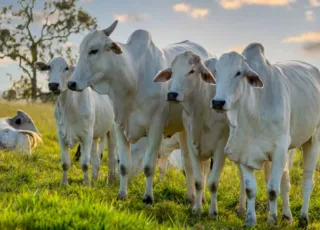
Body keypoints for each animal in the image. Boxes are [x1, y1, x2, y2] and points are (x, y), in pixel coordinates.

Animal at [34, 57, 117, 185]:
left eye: (66, 68)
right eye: (49, 67)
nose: (53, 85)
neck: (68, 108)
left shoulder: (86, 136)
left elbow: (85, 164)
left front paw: (86, 184)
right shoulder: (62, 136)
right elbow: (65, 163)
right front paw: (64, 183)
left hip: (112, 132)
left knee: (112, 159)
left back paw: (110, 180)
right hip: (95, 136)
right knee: (96, 159)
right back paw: (94, 179)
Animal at [67, 19, 212, 203]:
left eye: (94, 50)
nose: (71, 83)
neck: (133, 78)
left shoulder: (155, 128)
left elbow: (149, 166)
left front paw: (148, 197)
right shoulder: (119, 126)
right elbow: (124, 165)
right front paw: (122, 194)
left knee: (204, 166)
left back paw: (201, 198)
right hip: (183, 130)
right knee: (188, 164)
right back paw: (190, 197)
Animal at [154, 51, 294, 218]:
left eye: (192, 71)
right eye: (173, 71)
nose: (172, 94)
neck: (202, 107)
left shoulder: (220, 148)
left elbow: (213, 182)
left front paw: (213, 212)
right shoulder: (191, 143)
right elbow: (199, 180)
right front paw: (197, 208)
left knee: (278, 176)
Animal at [210, 43, 320, 226]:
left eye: (238, 72)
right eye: (216, 71)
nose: (218, 102)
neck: (254, 109)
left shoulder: (279, 151)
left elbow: (273, 190)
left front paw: (272, 220)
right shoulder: (242, 151)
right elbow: (250, 189)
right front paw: (250, 219)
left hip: (313, 140)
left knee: (307, 181)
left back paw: (303, 217)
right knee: (286, 180)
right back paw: (287, 215)